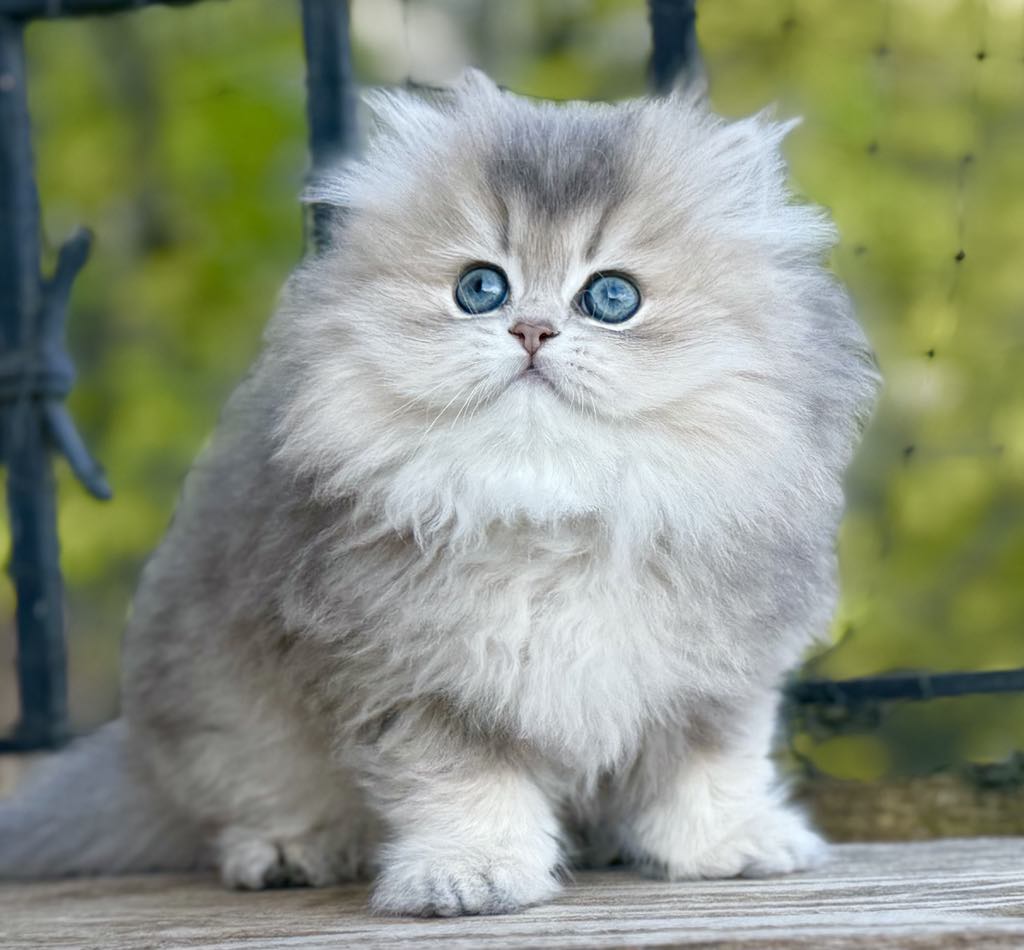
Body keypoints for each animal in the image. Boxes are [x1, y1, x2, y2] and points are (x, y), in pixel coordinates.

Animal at [0, 70, 880, 917]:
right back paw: (289, 853)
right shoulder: (416, 684)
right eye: (481, 288)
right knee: (254, 803)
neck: (549, 515)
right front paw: (470, 876)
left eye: (612, 298)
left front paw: (728, 845)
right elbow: (466, 789)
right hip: (224, 721)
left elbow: (707, 766)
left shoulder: (718, 676)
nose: (531, 331)